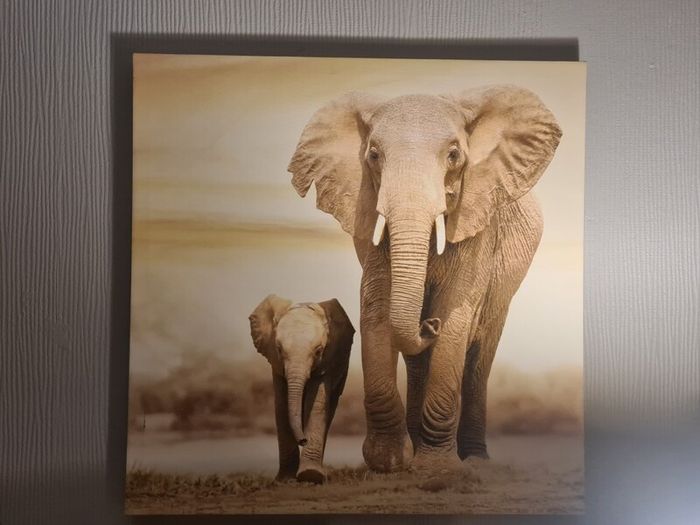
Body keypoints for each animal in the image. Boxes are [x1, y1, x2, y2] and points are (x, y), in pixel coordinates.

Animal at [249, 294, 355, 483]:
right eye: (279, 349)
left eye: (318, 351)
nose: (303, 440)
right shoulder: (276, 364)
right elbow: (281, 405)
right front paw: (285, 479)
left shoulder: (328, 360)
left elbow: (317, 403)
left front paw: (310, 475)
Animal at [288, 85, 561, 473]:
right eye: (373, 155)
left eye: (454, 155)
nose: (427, 324)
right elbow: (376, 308)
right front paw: (387, 464)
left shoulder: (478, 220)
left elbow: (456, 315)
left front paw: (436, 468)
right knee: (418, 362)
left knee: (479, 357)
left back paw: (475, 459)